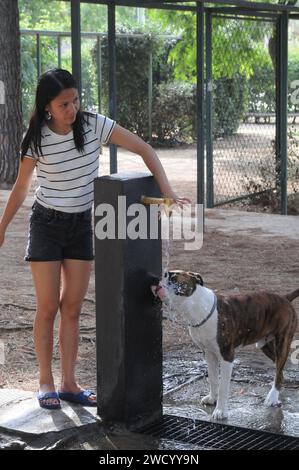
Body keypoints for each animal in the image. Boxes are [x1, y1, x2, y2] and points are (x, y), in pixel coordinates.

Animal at [154, 270, 298, 420]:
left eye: (173, 279)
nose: (158, 279)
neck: (197, 308)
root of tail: (285, 298)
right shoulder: (209, 354)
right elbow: (213, 378)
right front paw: (212, 398)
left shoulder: (227, 356)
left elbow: (223, 386)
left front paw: (221, 411)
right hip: (265, 346)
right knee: (279, 372)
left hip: (282, 343)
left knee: (279, 370)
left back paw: (272, 397)